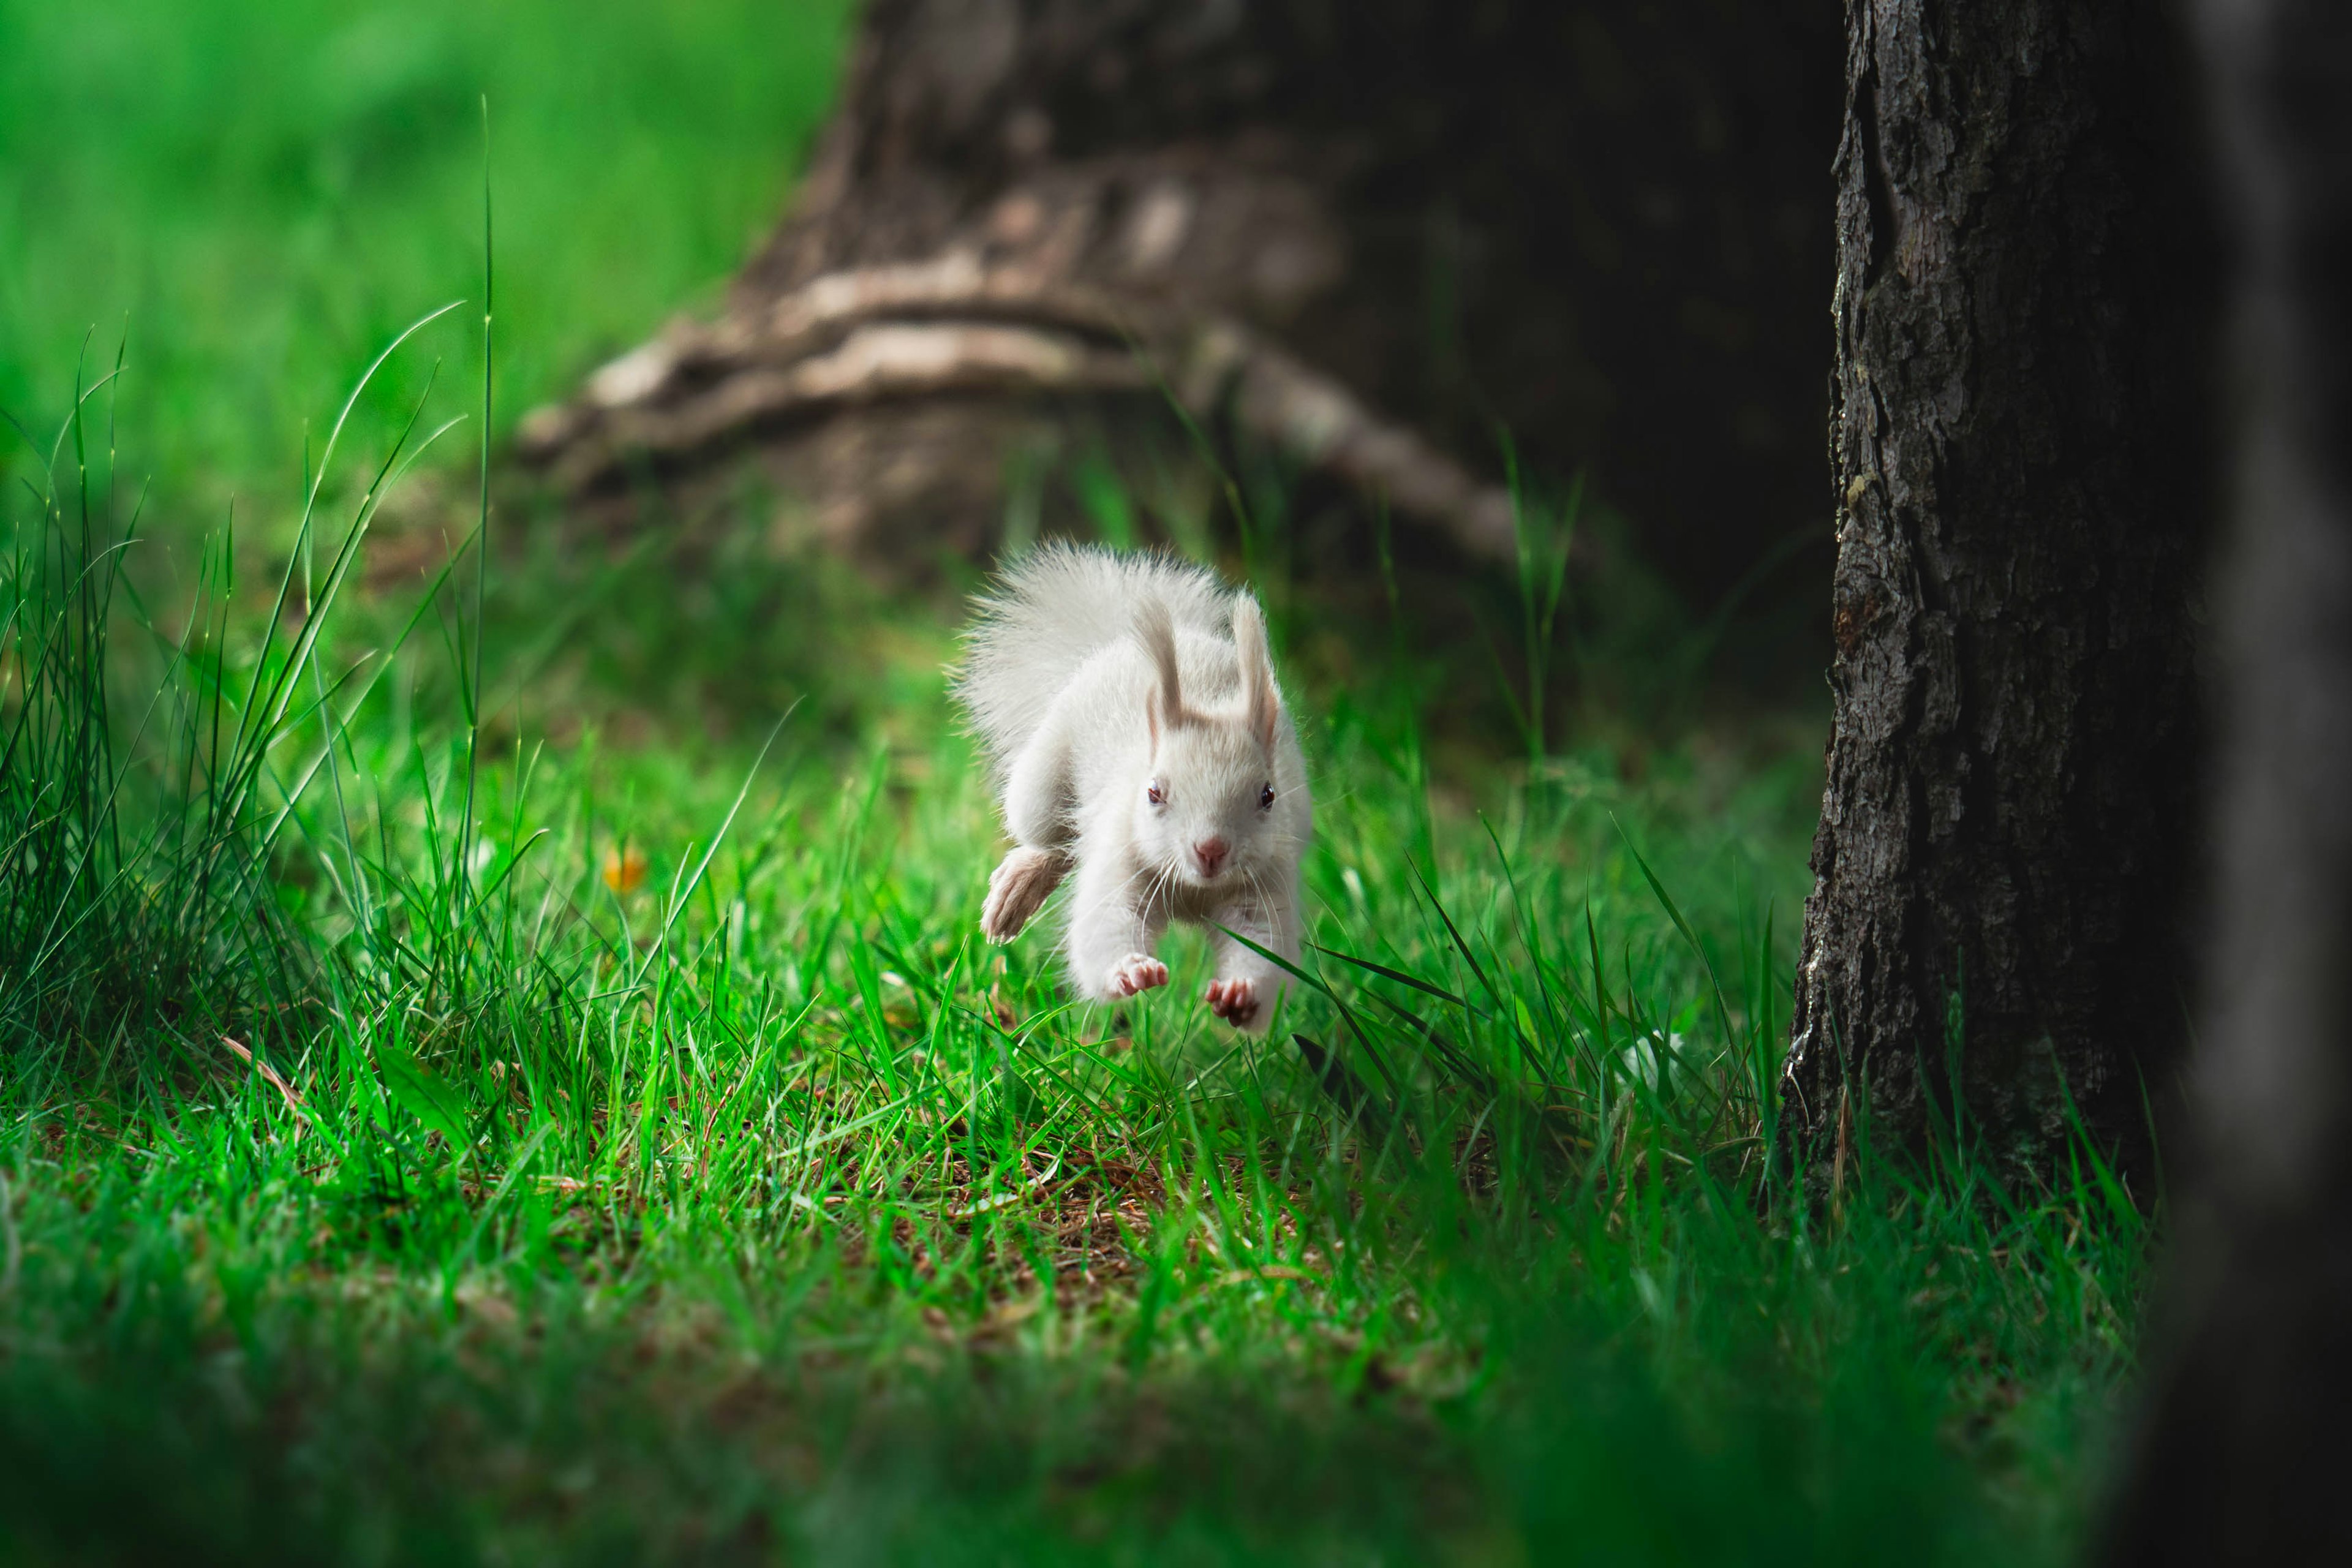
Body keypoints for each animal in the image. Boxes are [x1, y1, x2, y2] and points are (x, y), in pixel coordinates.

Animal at [955, 545, 1326, 1034]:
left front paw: (1241, 992)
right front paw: (1129, 970)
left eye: (1268, 795)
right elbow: (1104, 926)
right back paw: (1018, 886)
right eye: (1153, 793)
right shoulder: (1119, 860)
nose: (1211, 850)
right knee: (1052, 840)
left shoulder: (1266, 884)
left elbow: (1264, 947)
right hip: (1042, 782)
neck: (1193, 888)